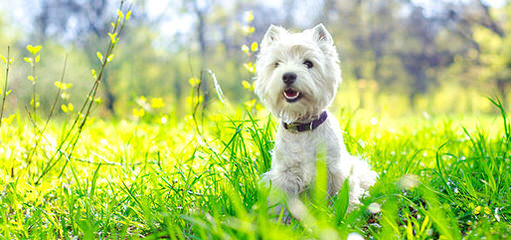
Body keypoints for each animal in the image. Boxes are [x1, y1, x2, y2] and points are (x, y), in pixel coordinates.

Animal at [255, 23, 378, 213]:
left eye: (308, 63)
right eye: (277, 64)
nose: (288, 75)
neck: (303, 127)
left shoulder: (335, 171)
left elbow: (343, 196)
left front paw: (347, 213)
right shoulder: (285, 175)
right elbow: (280, 203)